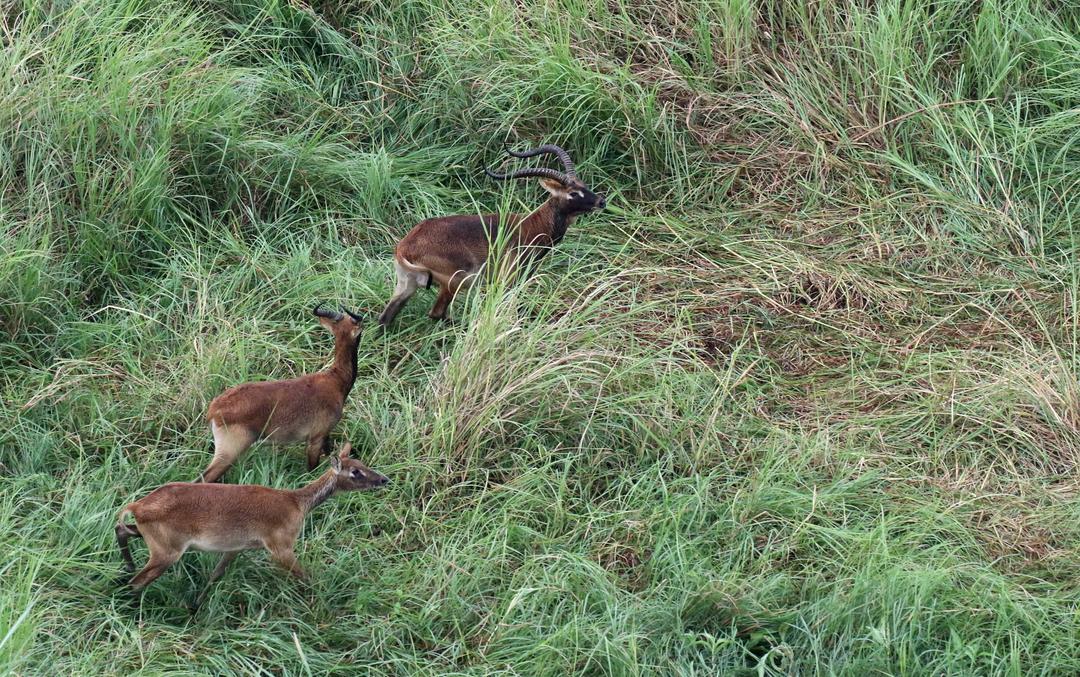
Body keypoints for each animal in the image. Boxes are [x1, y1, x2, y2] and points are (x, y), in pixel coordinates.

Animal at [116, 442, 386, 604]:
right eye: (355, 472)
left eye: (362, 464)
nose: (384, 479)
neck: (297, 504)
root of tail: (137, 506)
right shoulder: (280, 545)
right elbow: (304, 575)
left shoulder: (236, 547)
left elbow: (216, 575)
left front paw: (196, 606)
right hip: (167, 550)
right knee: (136, 581)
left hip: (152, 539)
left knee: (122, 530)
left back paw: (126, 568)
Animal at [201, 302, 367, 481]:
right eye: (358, 325)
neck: (335, 380)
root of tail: (214, 410)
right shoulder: (315, 438)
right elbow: (312, 469)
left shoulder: (325, 436)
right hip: (230, 452)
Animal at [375, 142, 604, 326]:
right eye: (573, 193)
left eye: (583, 185)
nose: (601, 201)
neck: (531, 225)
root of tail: (405, 246)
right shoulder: (509, 279)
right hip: (454, 282)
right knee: (436, 313)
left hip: (406, 285)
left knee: (385, 318)